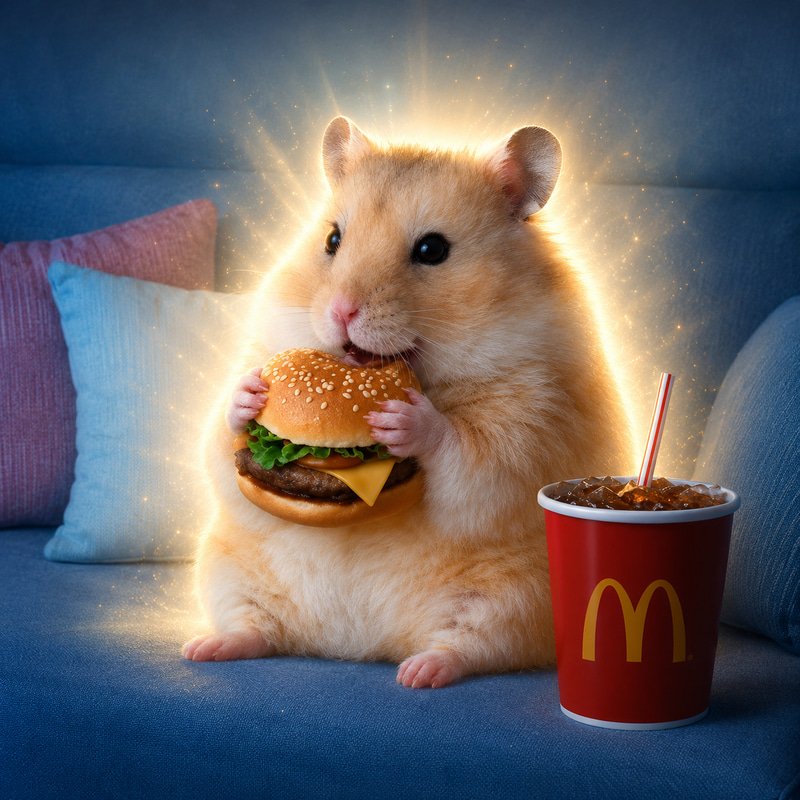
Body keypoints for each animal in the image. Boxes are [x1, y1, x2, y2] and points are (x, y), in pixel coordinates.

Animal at [182, 117, 633, 688]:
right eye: (332, 239)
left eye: (432, 250)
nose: (341, 310)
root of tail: (356, 645)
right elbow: (219, 448)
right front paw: (251, 392)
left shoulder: (536, 418)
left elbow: (473, 452)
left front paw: (404, 418)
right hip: (222, 568)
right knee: (253, 627)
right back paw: (204, 648)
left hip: (519, 597)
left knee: (467, 646)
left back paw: (420, 672)